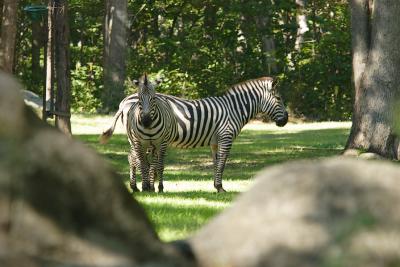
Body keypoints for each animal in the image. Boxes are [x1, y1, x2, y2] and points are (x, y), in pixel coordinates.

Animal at [100, 74, 288, 194]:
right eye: (279, 98)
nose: (285, 120)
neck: (233, 109)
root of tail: (125, 100)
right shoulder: (226, 137)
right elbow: (223, 163)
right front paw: (221, 187)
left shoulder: (215, 141)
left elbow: (216, 162)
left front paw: (216, 186)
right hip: (136, 138)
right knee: (134, 158)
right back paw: (138, 187)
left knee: (132, 158)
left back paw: (137, 187)